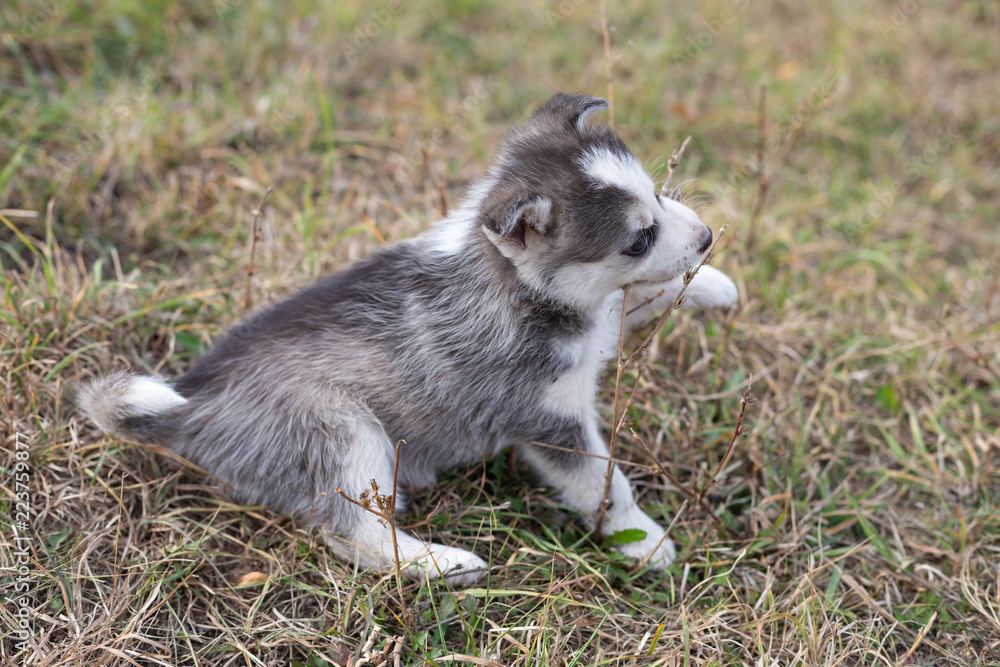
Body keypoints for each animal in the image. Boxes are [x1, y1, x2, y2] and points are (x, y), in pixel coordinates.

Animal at [80, 94, 736, 584]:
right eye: (638, 240)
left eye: (658, 194)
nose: (707, 237)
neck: (517, 288)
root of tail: (190, 406)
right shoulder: (551, 420)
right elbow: (604, 485)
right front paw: (644, 540)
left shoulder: (598, 320)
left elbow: (634, 299)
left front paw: (715, 286)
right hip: (344, 434)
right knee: (354, 536)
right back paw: (443, 563)